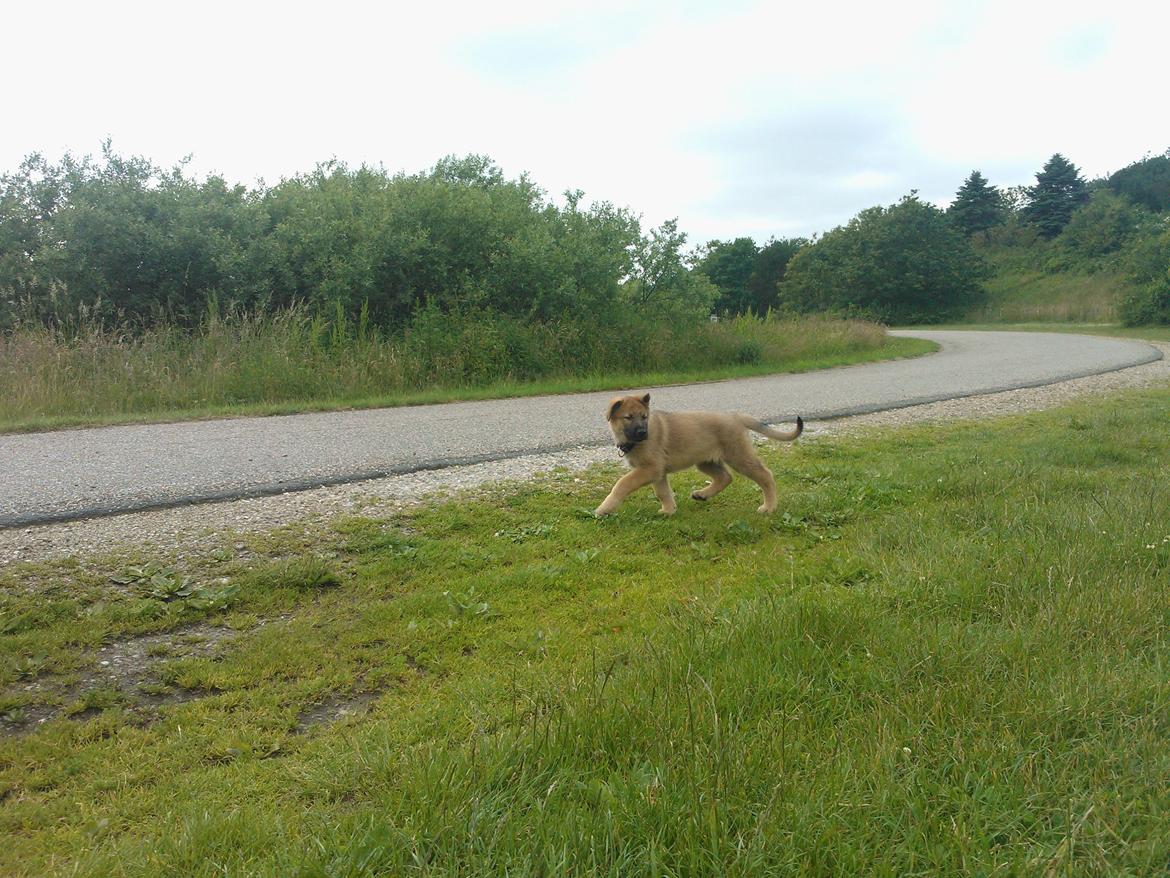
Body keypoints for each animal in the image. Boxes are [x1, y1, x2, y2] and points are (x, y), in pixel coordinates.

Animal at [594, 391, 804, 515]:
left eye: (644, 417)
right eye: (628, 417)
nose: (643, 433)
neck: (633, 443)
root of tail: (736, 417)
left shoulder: (650, 469)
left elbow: (622, 484)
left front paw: (604, 508)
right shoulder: (657, 472)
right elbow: (662, 492)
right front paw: (669, 510)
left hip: (739, 456)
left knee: (765, 475)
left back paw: (769, 506)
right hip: (705, 461)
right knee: (725, 477)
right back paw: (702, 494)